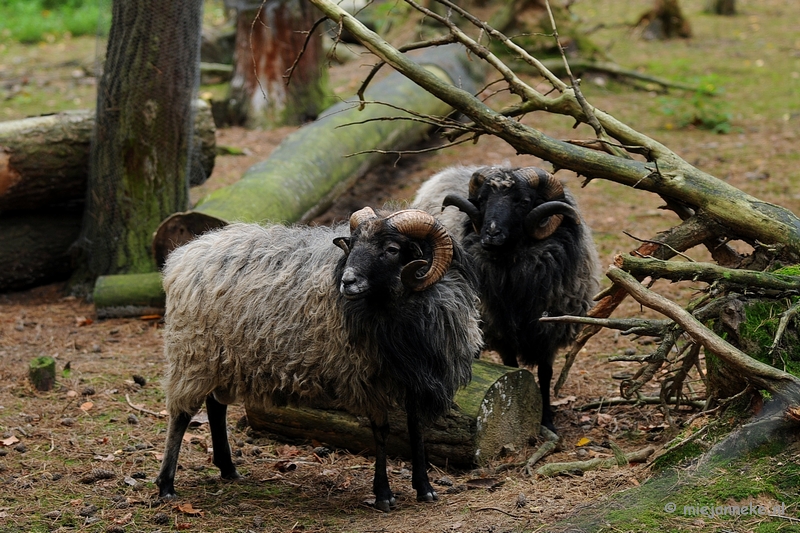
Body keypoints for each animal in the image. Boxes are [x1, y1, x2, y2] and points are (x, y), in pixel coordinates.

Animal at [155, 206, 482, 510]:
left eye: (391, 249)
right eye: (352, 245)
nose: (347, 281)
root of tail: (186, 253)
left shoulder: (417, 376)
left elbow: (416, 429)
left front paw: (425, 488)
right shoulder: (368, 376)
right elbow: (381, 432)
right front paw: (383, 494)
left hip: (223, 356)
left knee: (215, 405)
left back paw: (228, 468)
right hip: (194, 351)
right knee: (181, 415)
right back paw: (166, 485)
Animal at [416, 164, 596, 430]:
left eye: (523, 201)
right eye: (482, 200)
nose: (491, 234)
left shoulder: (549, 332)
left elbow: (545, 374)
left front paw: (547, 421)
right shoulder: (500, 332)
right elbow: (512, 368)